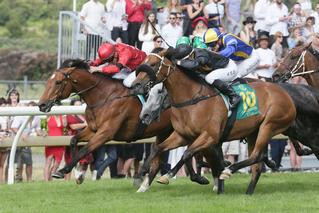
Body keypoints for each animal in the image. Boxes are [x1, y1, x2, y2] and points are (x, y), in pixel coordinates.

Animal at [132, 48, 298, 195]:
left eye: (153, 64)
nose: (136, 85)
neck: (192, 99)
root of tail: (285, 93)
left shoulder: (209, 136)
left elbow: (188, 153)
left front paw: (167, 175)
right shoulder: (182, 135)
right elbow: (159, 148)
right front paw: (143, 171)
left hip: (269, 125)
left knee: (256, 156)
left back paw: (228, 171)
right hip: (253, 132)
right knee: (257, 163)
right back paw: (248, 191)